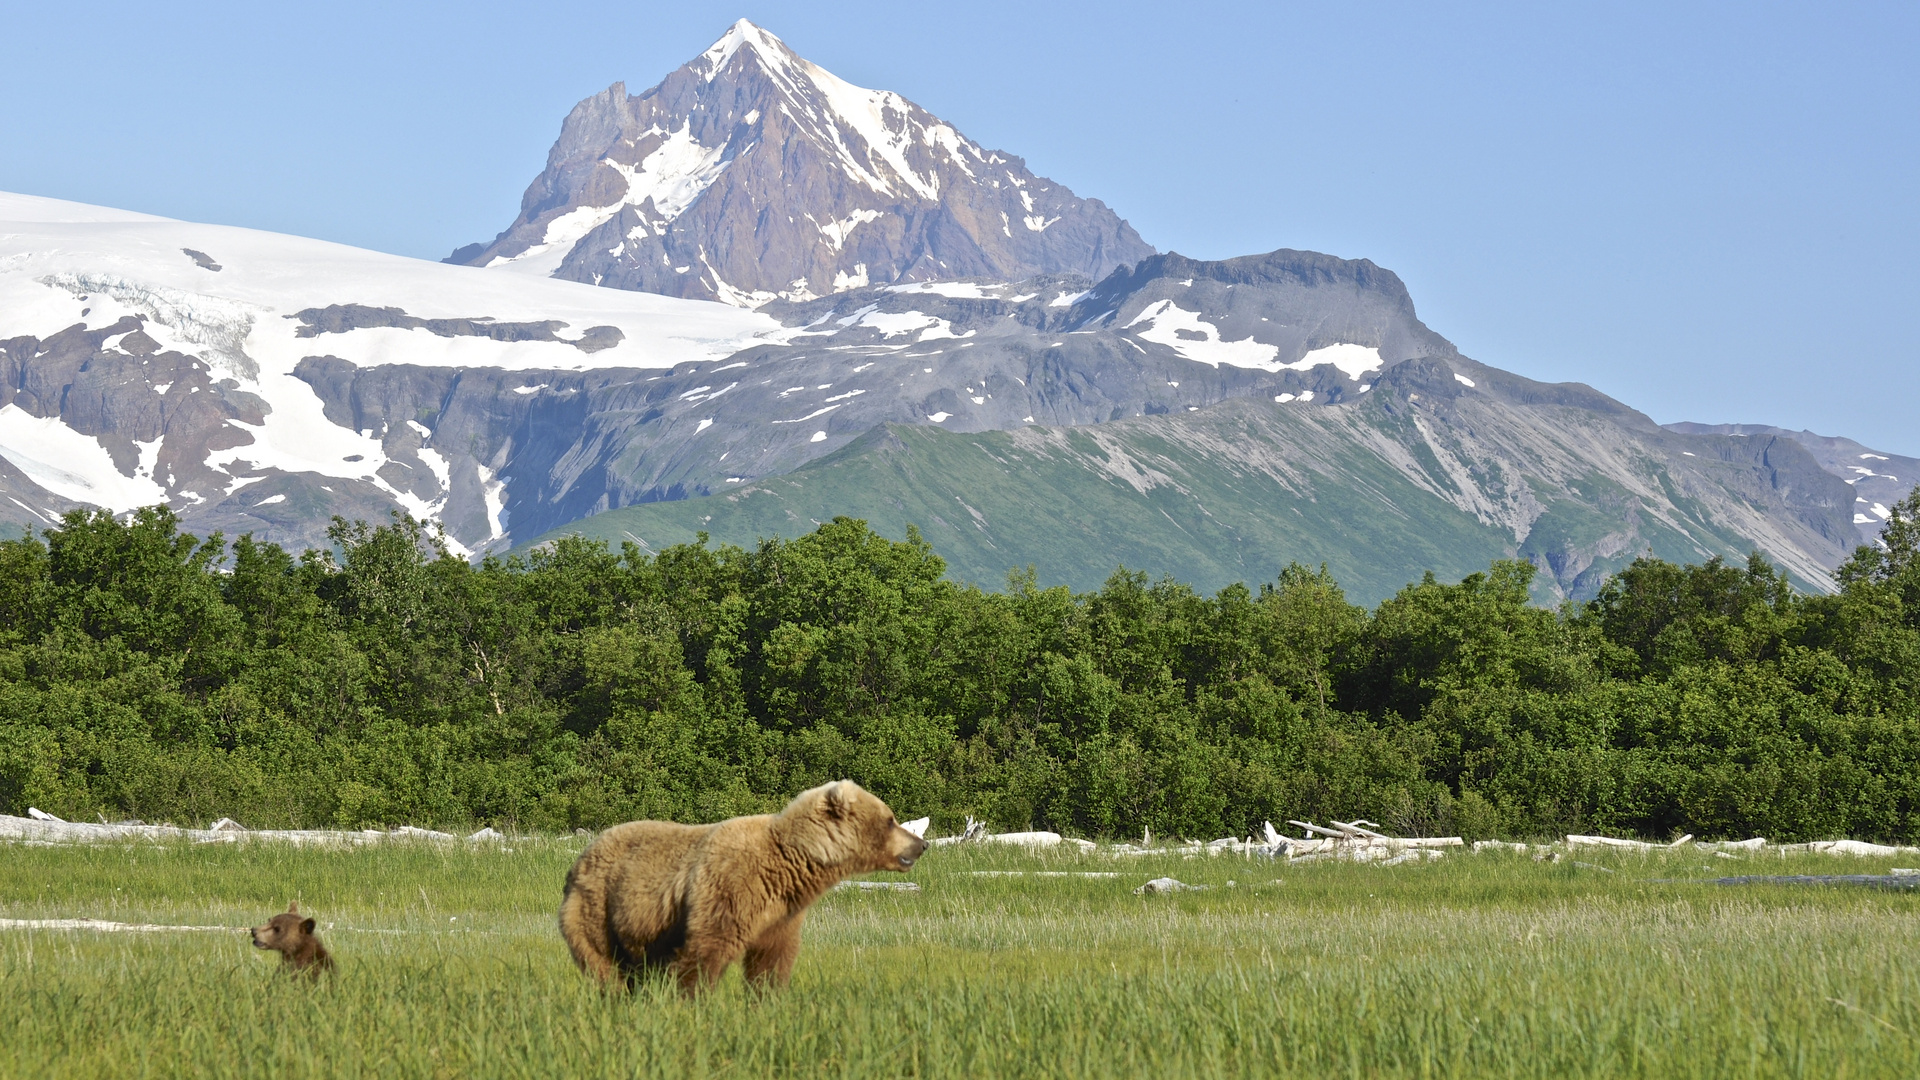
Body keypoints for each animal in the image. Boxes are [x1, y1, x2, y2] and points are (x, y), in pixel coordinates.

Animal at [560, 776, 925, 991]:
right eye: (890, 819)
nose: (921, 845)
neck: (789, 865)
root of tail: (578, 861)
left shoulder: (781, 913)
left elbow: (771, 960)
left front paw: (767, 1000)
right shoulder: (730, 887)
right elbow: (705, 951)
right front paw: (690, 1000)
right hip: (599, 909)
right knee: (605, 968)